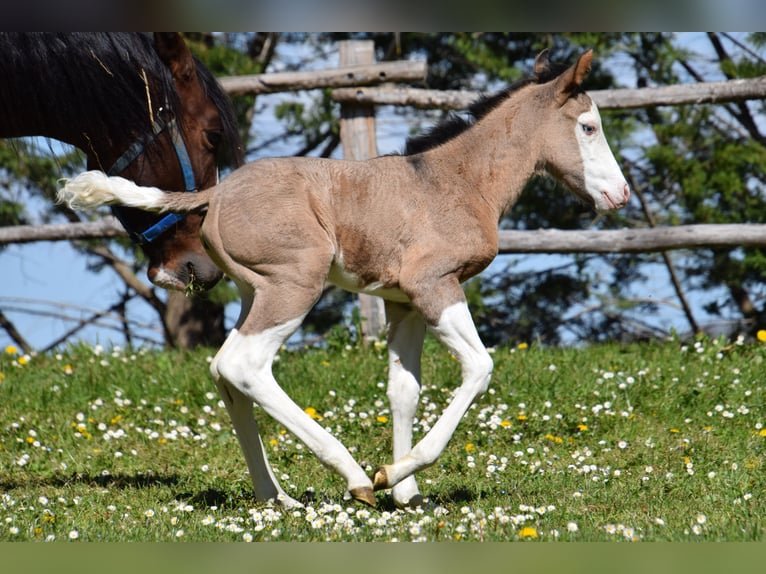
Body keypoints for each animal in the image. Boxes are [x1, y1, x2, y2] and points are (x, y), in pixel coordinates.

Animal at [59, 49, 630, 509]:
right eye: (588, 127)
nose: (621, 195)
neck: (456, 181)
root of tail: (213, 194)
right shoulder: (435, 286)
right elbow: (479, 367)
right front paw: (389, 475)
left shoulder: (402, 302)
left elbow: (404, 390)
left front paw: (405, 494)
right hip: (295, 285)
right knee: (244, 365)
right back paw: (351, 476)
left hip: (253, 292)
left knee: (223, 371)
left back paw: (278, 498)